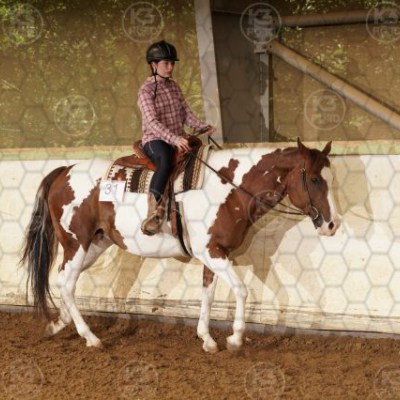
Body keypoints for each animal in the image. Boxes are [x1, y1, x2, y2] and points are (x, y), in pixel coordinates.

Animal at [20, 138, 340, 353]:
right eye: (314, 178)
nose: (332, 224)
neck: (228, 188)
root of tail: (64, 171)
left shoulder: (215, 254)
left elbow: (208, 293)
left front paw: (207, 339)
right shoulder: (211, 252)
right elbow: (241, 289)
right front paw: (235, 338)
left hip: (95, 244)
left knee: (64, 280)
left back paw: (58, 324)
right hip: (77, 243)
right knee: (67, 283)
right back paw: (90, 337)